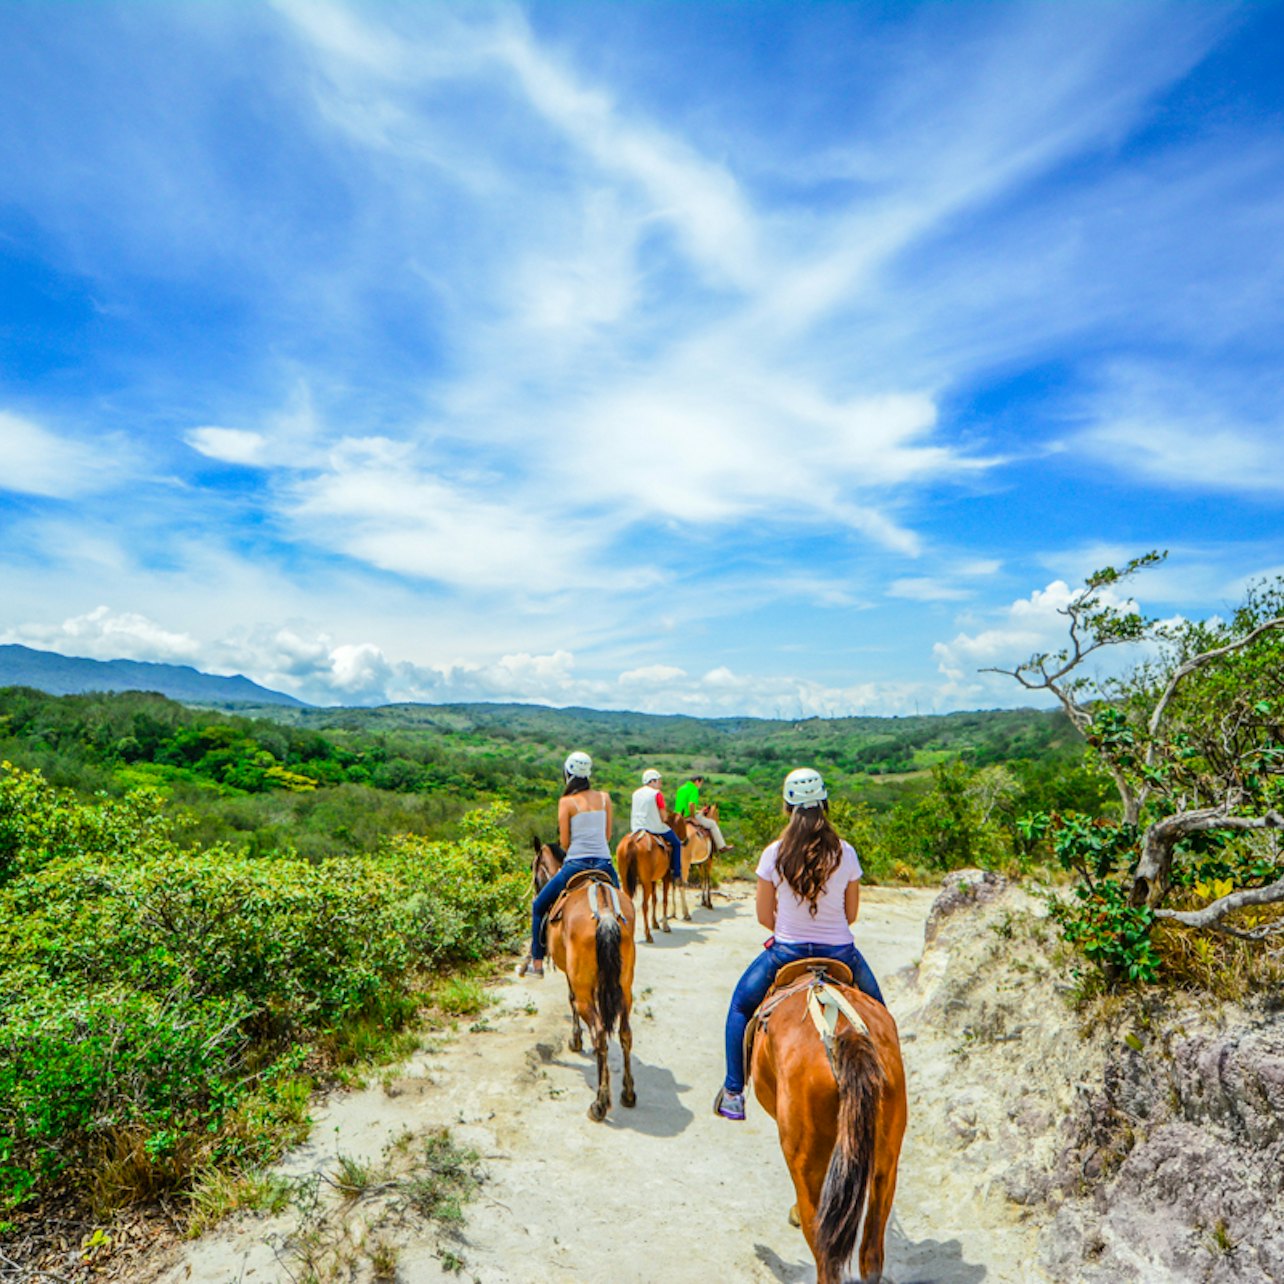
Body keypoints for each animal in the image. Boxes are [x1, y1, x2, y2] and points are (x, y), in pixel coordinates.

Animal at [531, 837, 636, 1119]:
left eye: (534, 868)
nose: (536, 891)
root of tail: (606, 913)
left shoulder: (572, 977)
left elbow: (570, 1000)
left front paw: (576, 1039)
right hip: (625, 988)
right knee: (625, 1033)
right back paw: (628, 1093)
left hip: (584, 990)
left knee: (598, 1032)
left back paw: (600, 1102)